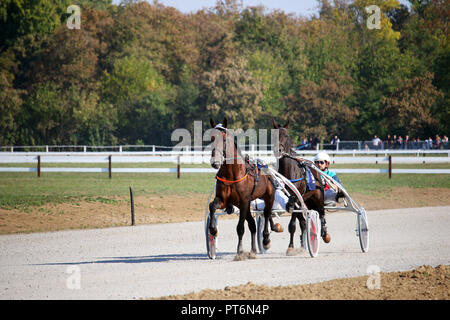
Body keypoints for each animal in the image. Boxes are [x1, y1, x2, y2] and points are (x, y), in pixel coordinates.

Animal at [209, 118, 276, 258]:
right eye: (211, 138)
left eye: (223, 139)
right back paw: (253, 250)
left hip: (268, 197)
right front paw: (213, 230)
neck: (232, 174)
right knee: (252, 224)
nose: (215, 162)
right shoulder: (224, 200)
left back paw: (266, 239)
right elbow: (212, 206)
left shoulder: (244, 201)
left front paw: (239, 251)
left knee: (267, 214)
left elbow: (240, 228)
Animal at [270, 118, 330, 255]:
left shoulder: (295, 198)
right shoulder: (289, 199)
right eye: (274, 135)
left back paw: (324, 234)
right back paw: (303, 244)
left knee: (322, 213)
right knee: (302, 221)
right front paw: (292, 245)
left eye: (286, 135)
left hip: (318, 197)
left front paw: (291, 247)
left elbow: (292, 225)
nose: (278, 150)